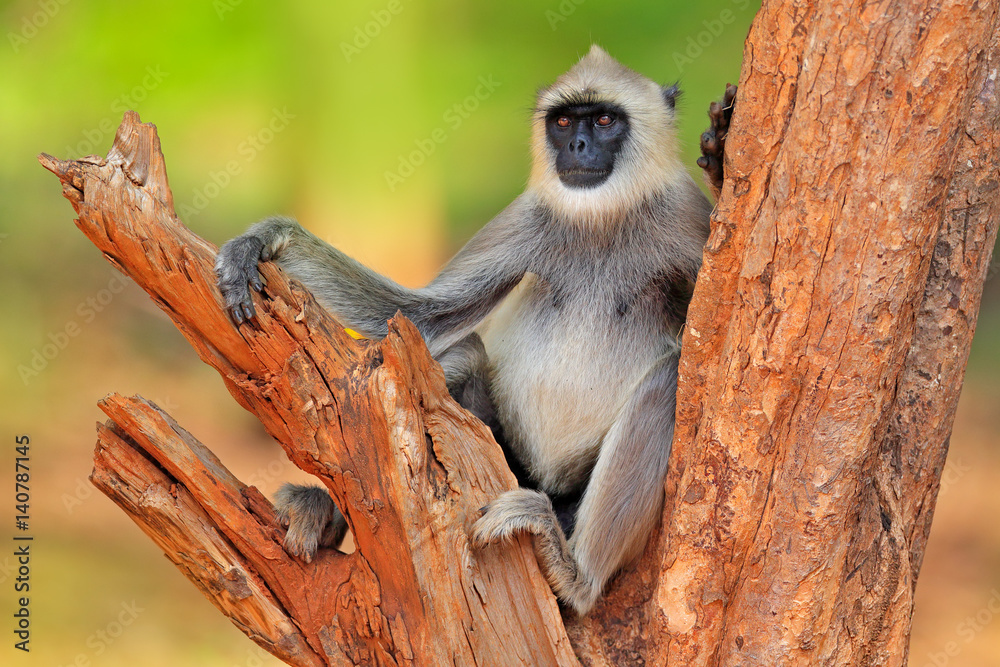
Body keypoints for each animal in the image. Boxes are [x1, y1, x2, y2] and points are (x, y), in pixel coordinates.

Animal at [215, 45, 735, 615]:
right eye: (563, 122)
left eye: (603, 121)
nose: (576, 145)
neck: (603, 219)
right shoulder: (525, 219)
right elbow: (417, 314)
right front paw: (265, 241)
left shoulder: (682, 218)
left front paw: (721, 162)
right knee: (461, 354)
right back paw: (327, 509)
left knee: (665, 382)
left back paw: (574, 575)